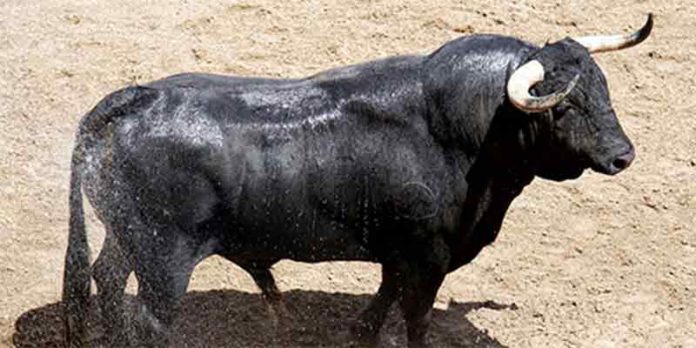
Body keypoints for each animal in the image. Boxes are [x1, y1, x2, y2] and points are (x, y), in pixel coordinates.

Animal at [61, 14, 652, 346]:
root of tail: (137, 96)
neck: (466, 135)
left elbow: (384, 294)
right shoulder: (430, 254)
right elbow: (415, 317)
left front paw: (360, 331)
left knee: (105, 279)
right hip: (163, 260)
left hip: (125, 235)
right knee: (149, 320)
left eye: (604, 88)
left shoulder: (400, 249)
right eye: (566, 106)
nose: (623, 156)